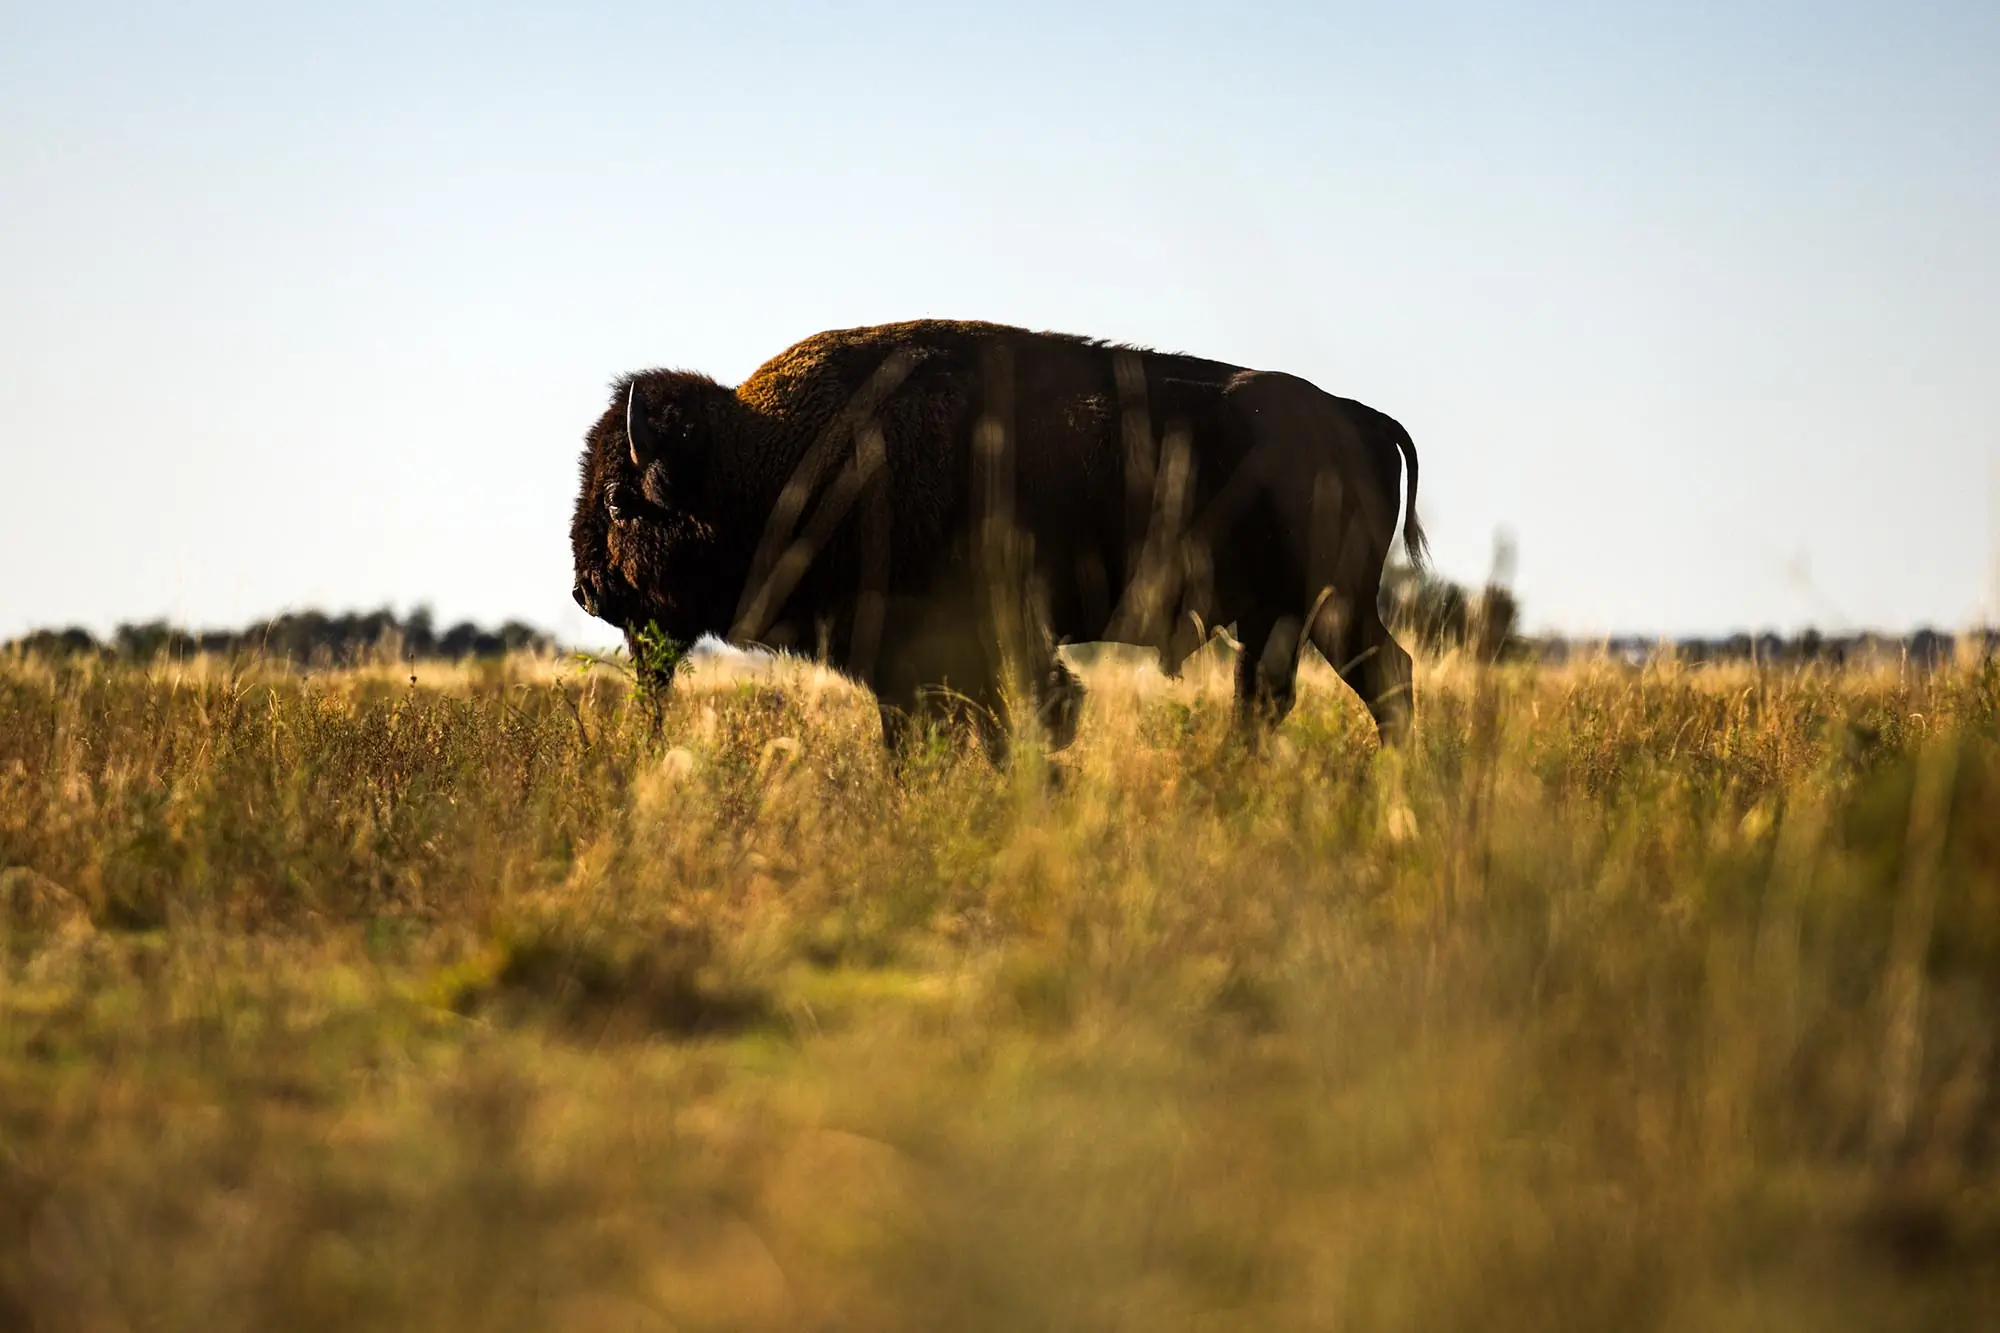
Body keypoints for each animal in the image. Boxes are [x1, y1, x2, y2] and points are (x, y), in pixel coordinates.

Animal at [570, 320, 1426, 754]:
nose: (584, 591)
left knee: (1369, 682)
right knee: (1313, 690)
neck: (767, 457)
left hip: (1323, 606)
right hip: (1289, 615)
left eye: (617, 501)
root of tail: (1362, 418)